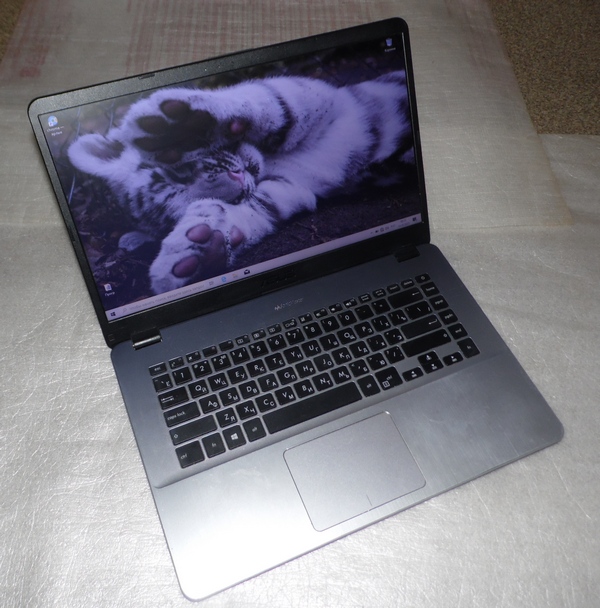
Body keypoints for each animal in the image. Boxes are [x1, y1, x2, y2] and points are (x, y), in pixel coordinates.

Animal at [68, 70, 413, 295]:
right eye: (183, 206)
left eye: (180, 173)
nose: (239, 178)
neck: (270, 162)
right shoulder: (294, 187)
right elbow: (253, 211)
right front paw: (198, 248)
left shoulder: (322, 99)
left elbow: (271, 102)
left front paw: (181, 127)